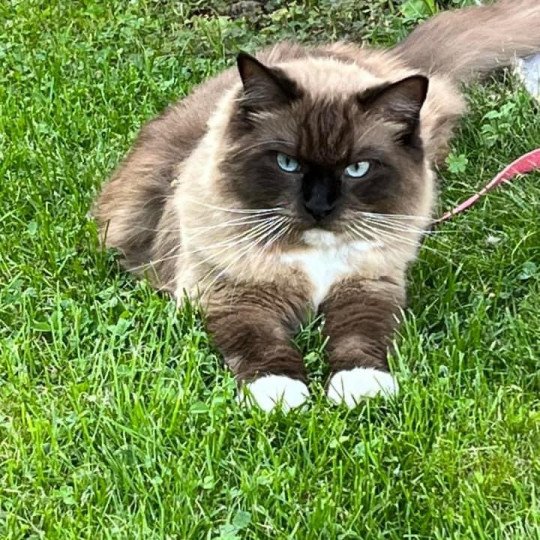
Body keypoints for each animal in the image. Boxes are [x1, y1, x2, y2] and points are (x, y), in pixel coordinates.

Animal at [95, 0, 540, 412]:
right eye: (287, 163)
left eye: (357, 168)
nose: (319, 206)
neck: (315, 256)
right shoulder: (233, 295)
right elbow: (261, 344)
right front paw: (280, 395)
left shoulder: (367, 285)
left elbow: (359, 338)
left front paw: (360, 389)